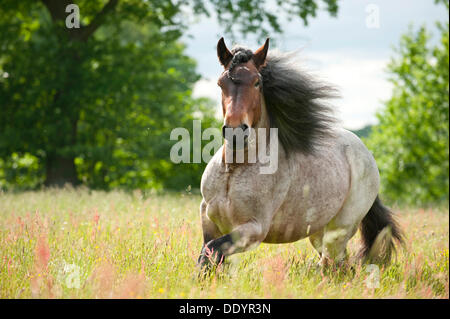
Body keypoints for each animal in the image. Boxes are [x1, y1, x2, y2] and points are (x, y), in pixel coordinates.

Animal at [199, 38, 402, 270]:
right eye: (221, 83)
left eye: (257, 82)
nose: (235, 132)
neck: (234, 170)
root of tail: (366, 154)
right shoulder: (209, 221)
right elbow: (209, 255)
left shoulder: (254, 230)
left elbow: (211, 251)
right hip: (317, 233)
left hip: (339, 231)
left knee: (334, 264)